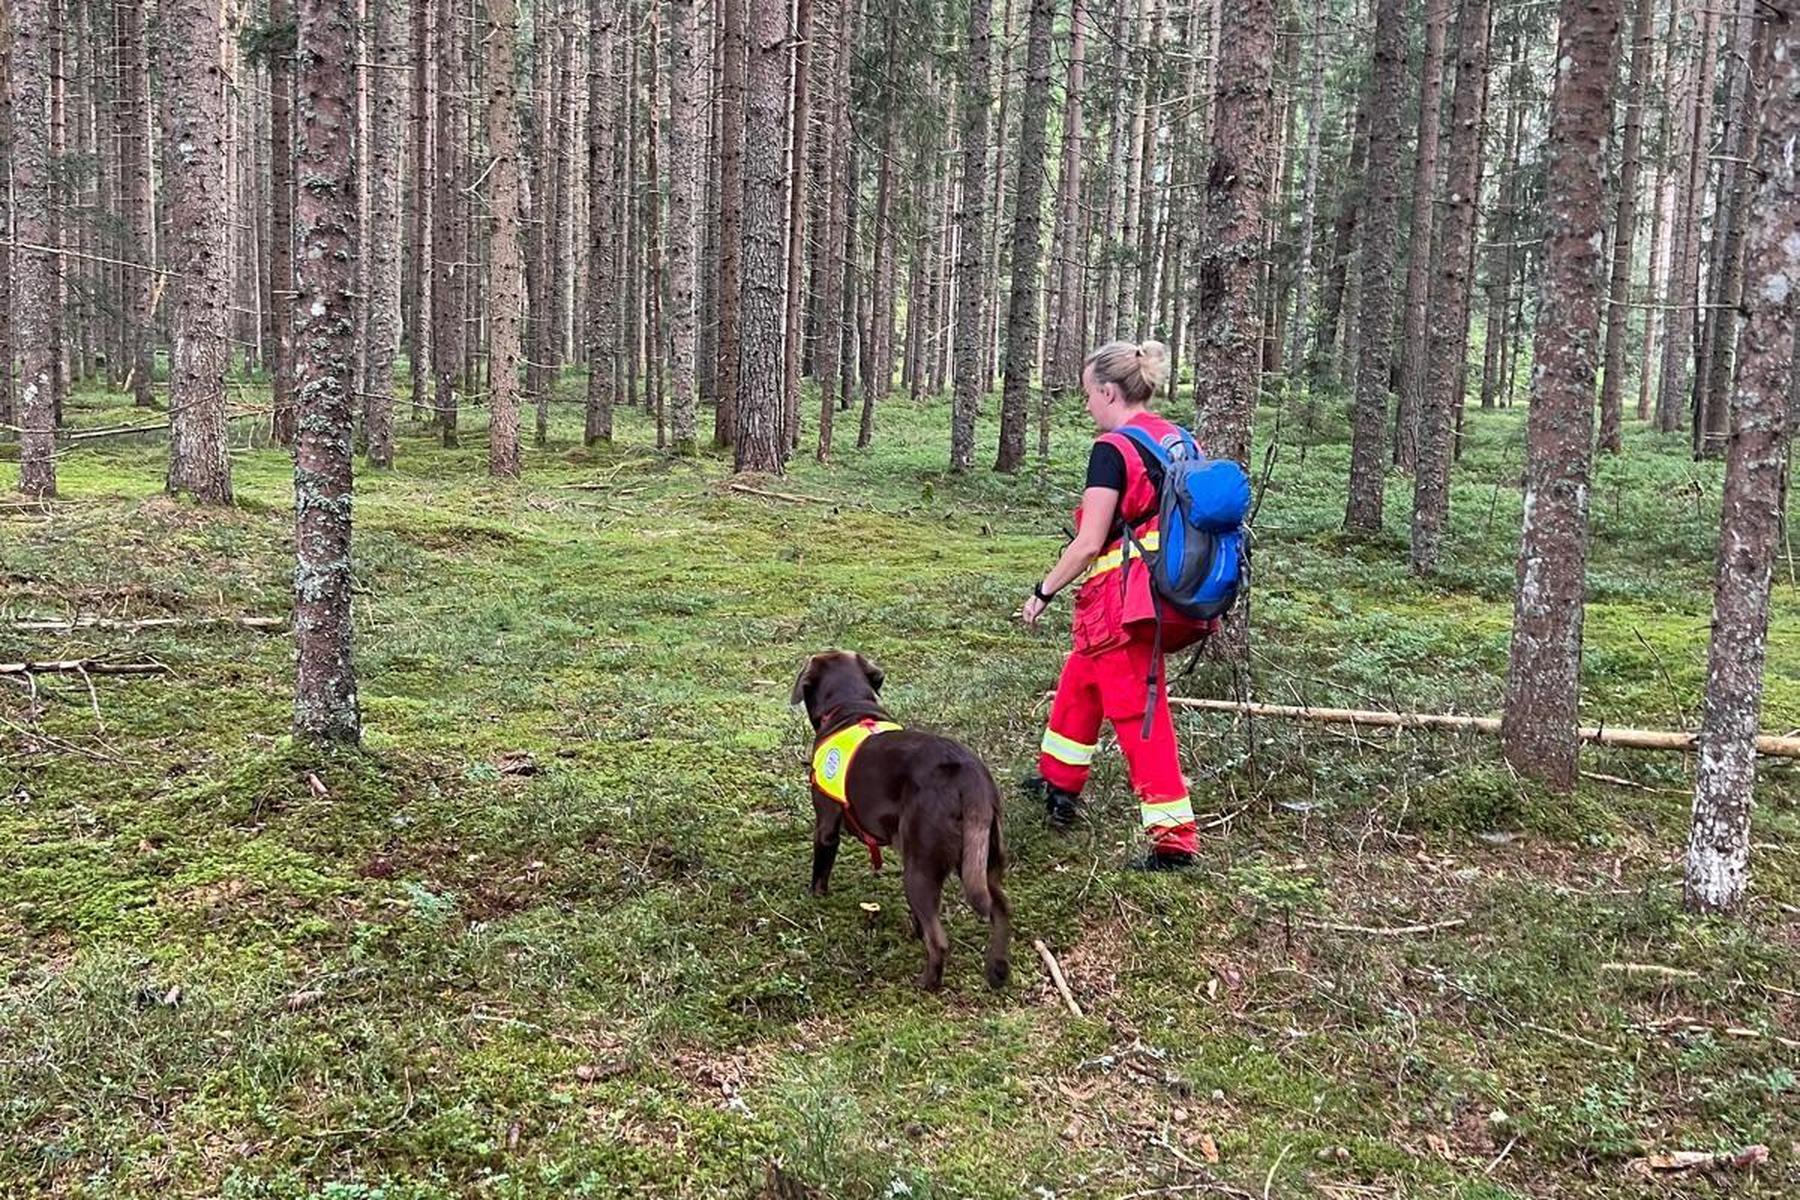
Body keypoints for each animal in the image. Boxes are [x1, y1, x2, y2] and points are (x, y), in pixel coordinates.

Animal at [792, 651, 1015, 993]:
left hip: (918, 871)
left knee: (939, 942)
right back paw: (997, 971)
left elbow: (820, 873)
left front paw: (815, 898)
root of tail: (969, 776)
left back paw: (926, 983)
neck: (850, 706)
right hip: (983, 861)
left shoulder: (827, 826)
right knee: (1000, 911)